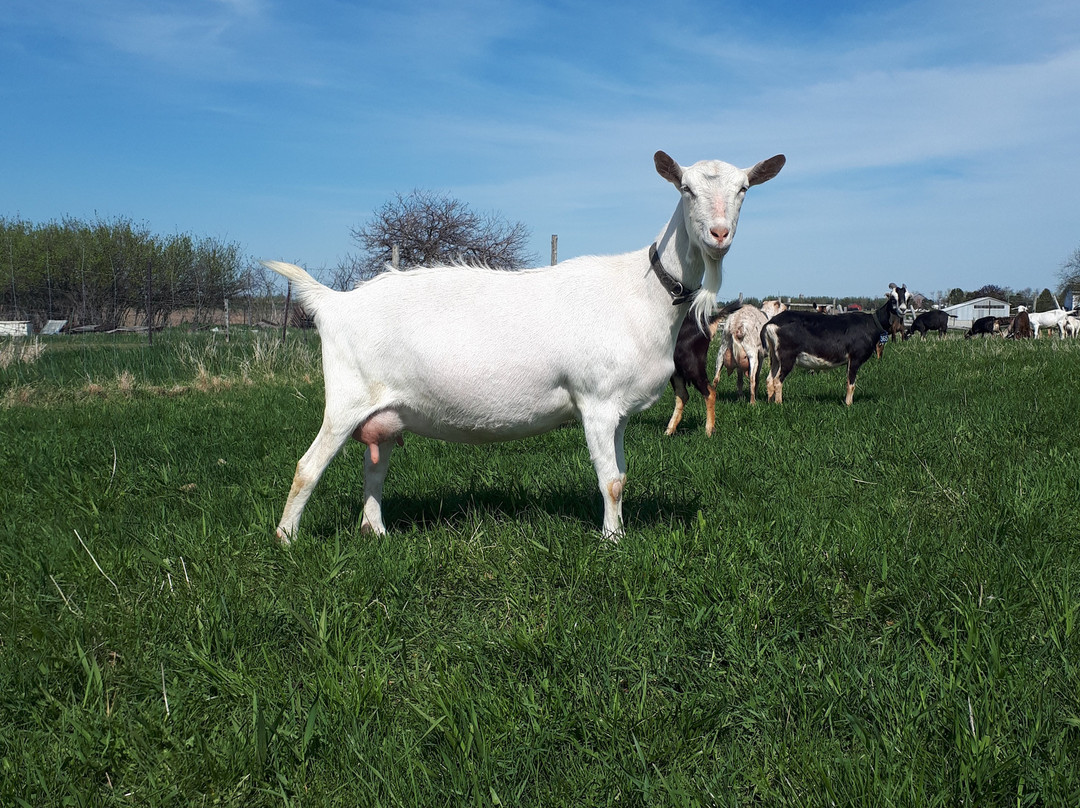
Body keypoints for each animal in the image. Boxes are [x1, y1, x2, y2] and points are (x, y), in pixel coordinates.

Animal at [263, 150, 785, 541]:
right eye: (686, 189)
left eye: (743, 189)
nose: (719, 234)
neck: (643, 291)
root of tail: (334, 303)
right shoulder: (596, 402)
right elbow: (609, 482)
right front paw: (612, 542)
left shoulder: (616, 408)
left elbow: (620, 477)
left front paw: (618, 533)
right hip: (347, 398)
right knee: (307, 467)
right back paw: (286, 540)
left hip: (384, 413)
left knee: (374, 470)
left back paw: (377, 533)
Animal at [761, 284, 910, 406]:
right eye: (893, 298)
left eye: (908, 298)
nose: (902, 309)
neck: (871, 324)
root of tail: (771, 323)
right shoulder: (855, 358)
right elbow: (851, 384)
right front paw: (849, 405)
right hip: (787, 356)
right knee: (777, 381)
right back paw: (779, 404)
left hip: (775, 357)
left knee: (769, 379)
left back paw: (770, 402)